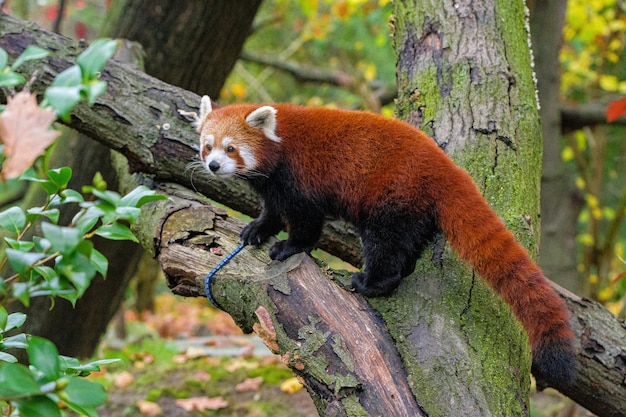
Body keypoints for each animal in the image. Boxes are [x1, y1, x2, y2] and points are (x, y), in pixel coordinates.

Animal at [194, 95, 576, 384]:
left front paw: (289, 248)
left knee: (385, 243)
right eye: (207, 147)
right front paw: (256, 230)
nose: (213, 166)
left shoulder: (300, 178)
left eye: (231, 149)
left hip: (392, 194)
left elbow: (306, 222)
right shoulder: (273, 186)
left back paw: (371, 282)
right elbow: (273, 210)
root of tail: (445, 166)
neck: (280, 143)